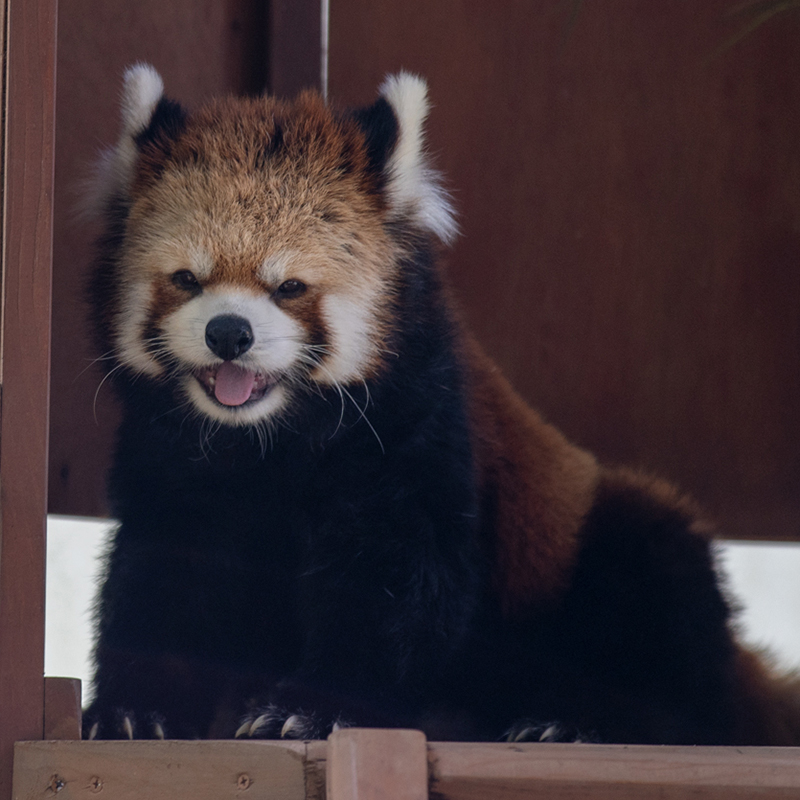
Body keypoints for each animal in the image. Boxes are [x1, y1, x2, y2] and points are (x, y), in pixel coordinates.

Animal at [83, 65, 800, 748]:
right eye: (187, 279)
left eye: (289, 287)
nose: (229, 333)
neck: (266, 442)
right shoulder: (167, 462)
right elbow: (161, 581)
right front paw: (135, 708)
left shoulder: (415, 426)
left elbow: (399, 583)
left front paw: (314, 709)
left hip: (603, 551)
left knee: (654, 617)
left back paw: (574, 721)